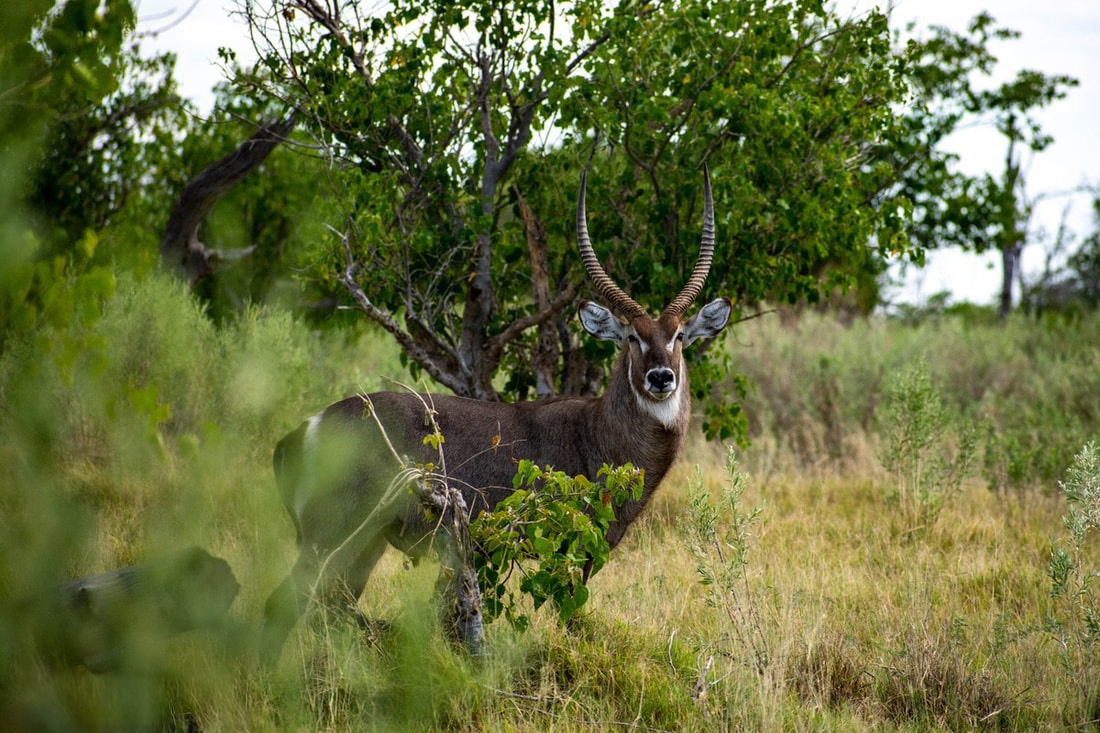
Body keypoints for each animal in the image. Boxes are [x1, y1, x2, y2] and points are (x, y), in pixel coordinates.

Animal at [261, 169, 732, 662]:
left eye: (679, 336)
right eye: (632, 338)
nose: (661, 377)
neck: (596, 434)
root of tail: (302, 431)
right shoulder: (569, 550)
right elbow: (571, 622)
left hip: (364, 543)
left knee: (329, 606)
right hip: (329, 533)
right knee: (284, 604)